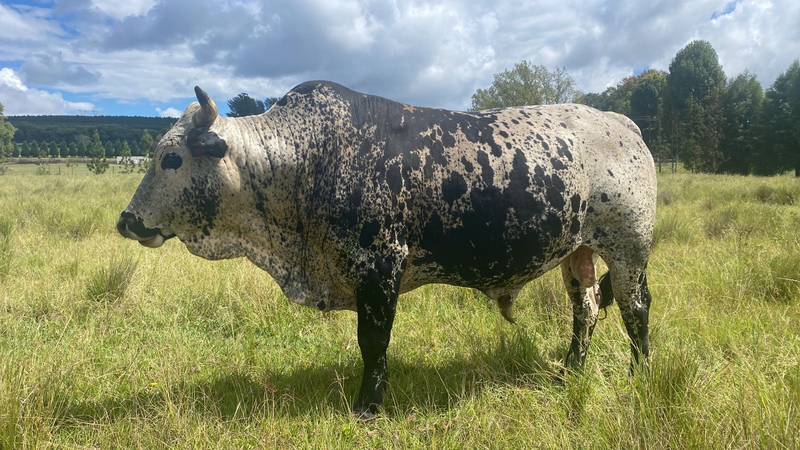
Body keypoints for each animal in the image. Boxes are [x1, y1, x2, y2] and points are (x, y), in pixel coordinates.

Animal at [117, 81, 656, 418]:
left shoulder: (379, 267)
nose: (126, 220)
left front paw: (369, 406)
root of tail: (624, 123)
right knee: (586, 308)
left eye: (171, 158)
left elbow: (373, 342)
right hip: (577, 251)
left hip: (629, 247)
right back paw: (570, 369)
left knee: (635, 309)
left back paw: (640, 373)